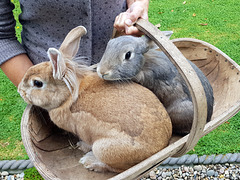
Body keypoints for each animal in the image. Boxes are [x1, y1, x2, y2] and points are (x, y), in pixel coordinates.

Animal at [17, 26, 172, 172]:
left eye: (37, 83)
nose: (20, 91)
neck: (69, 94)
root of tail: (161, 146)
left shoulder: (83, 132)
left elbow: (86, 141)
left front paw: (81, 146)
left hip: (103, 149)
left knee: (115, 168)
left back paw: (89, 161)